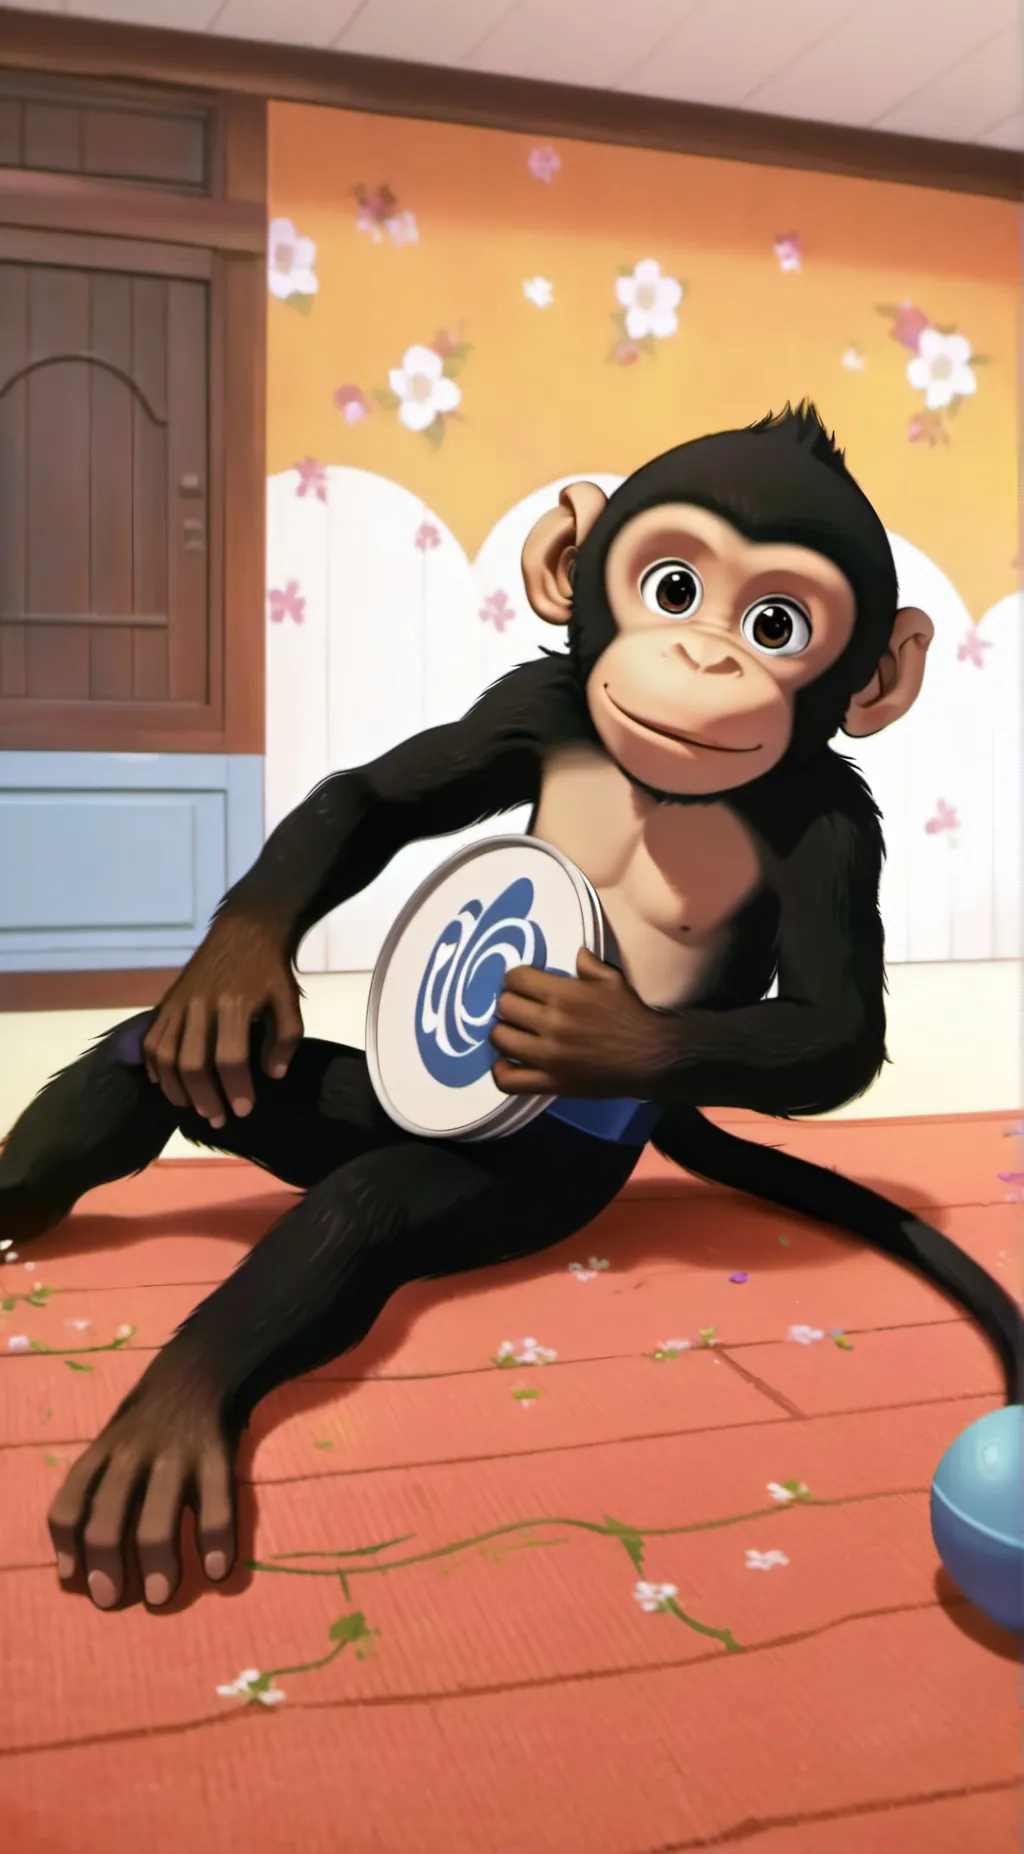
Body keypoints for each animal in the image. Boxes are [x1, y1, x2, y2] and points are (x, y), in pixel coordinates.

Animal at [1, 403, 1018, 1617]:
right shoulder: (538, 703)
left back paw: (179, 1406)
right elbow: (374, 798)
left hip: (543, 1184)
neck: (664, 784)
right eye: (674, 587)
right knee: (150, 1062)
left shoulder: (831, 820)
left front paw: (590, 1031)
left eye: (777, 624)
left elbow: (839, 1028)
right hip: (360, 1103)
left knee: (368, 1204)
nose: (703, 654)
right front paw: (232, 968)